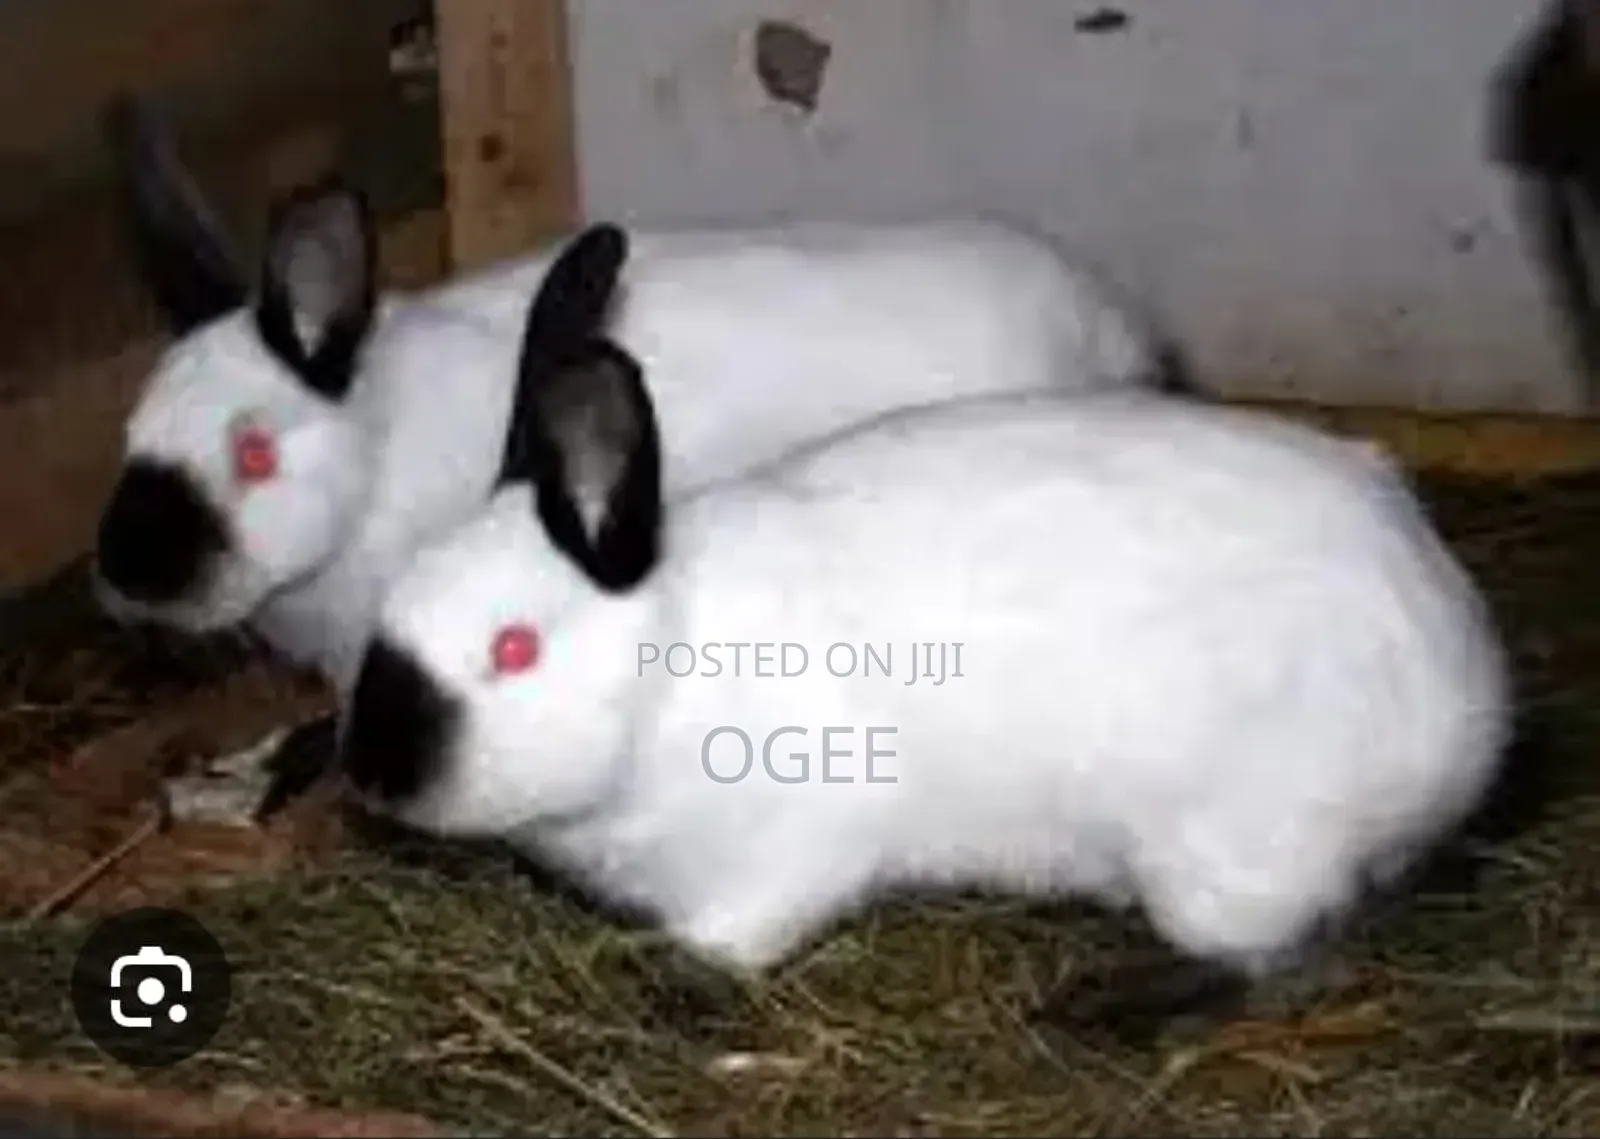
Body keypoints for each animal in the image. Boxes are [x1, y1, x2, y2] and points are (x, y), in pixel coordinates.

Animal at [334, 220, 1511, 1032]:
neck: (665, 669)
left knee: (1266, 954)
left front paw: (670, 979)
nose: (374, 774)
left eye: (513, 648)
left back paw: (1102, 1004)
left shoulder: (797, 844)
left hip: (1234, 846)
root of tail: (1469, 696)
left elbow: (739, 933)